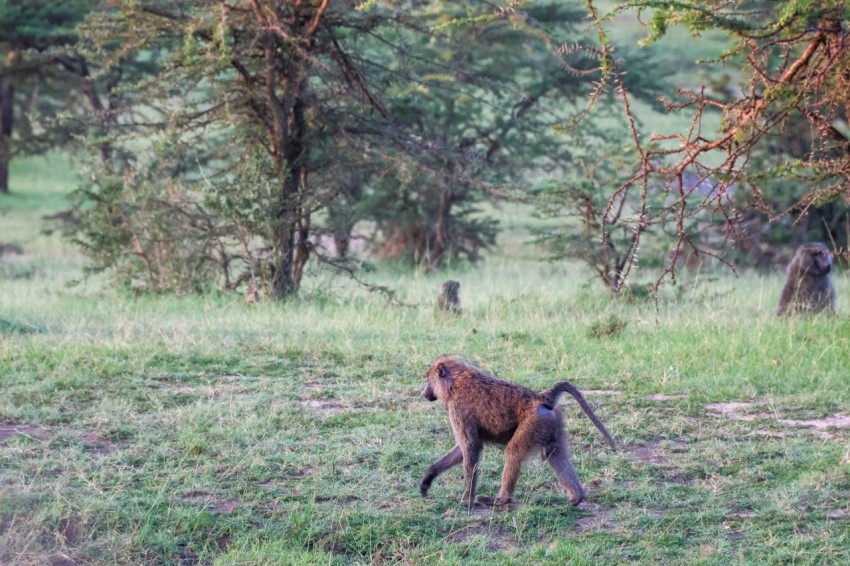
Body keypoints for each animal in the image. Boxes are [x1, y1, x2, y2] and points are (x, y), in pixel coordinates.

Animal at [419, 355, 616, 509]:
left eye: (429, 379)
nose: (423, 392)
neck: (456, 383)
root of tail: (540, 397)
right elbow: (462, 449)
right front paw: (428, 478)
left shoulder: (458, 409)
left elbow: (470, 447)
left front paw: (466, 500)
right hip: (550, 423)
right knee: (554, 453)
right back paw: (576, 497)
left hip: (532, 424)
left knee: (513, 452)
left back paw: (500, 499)